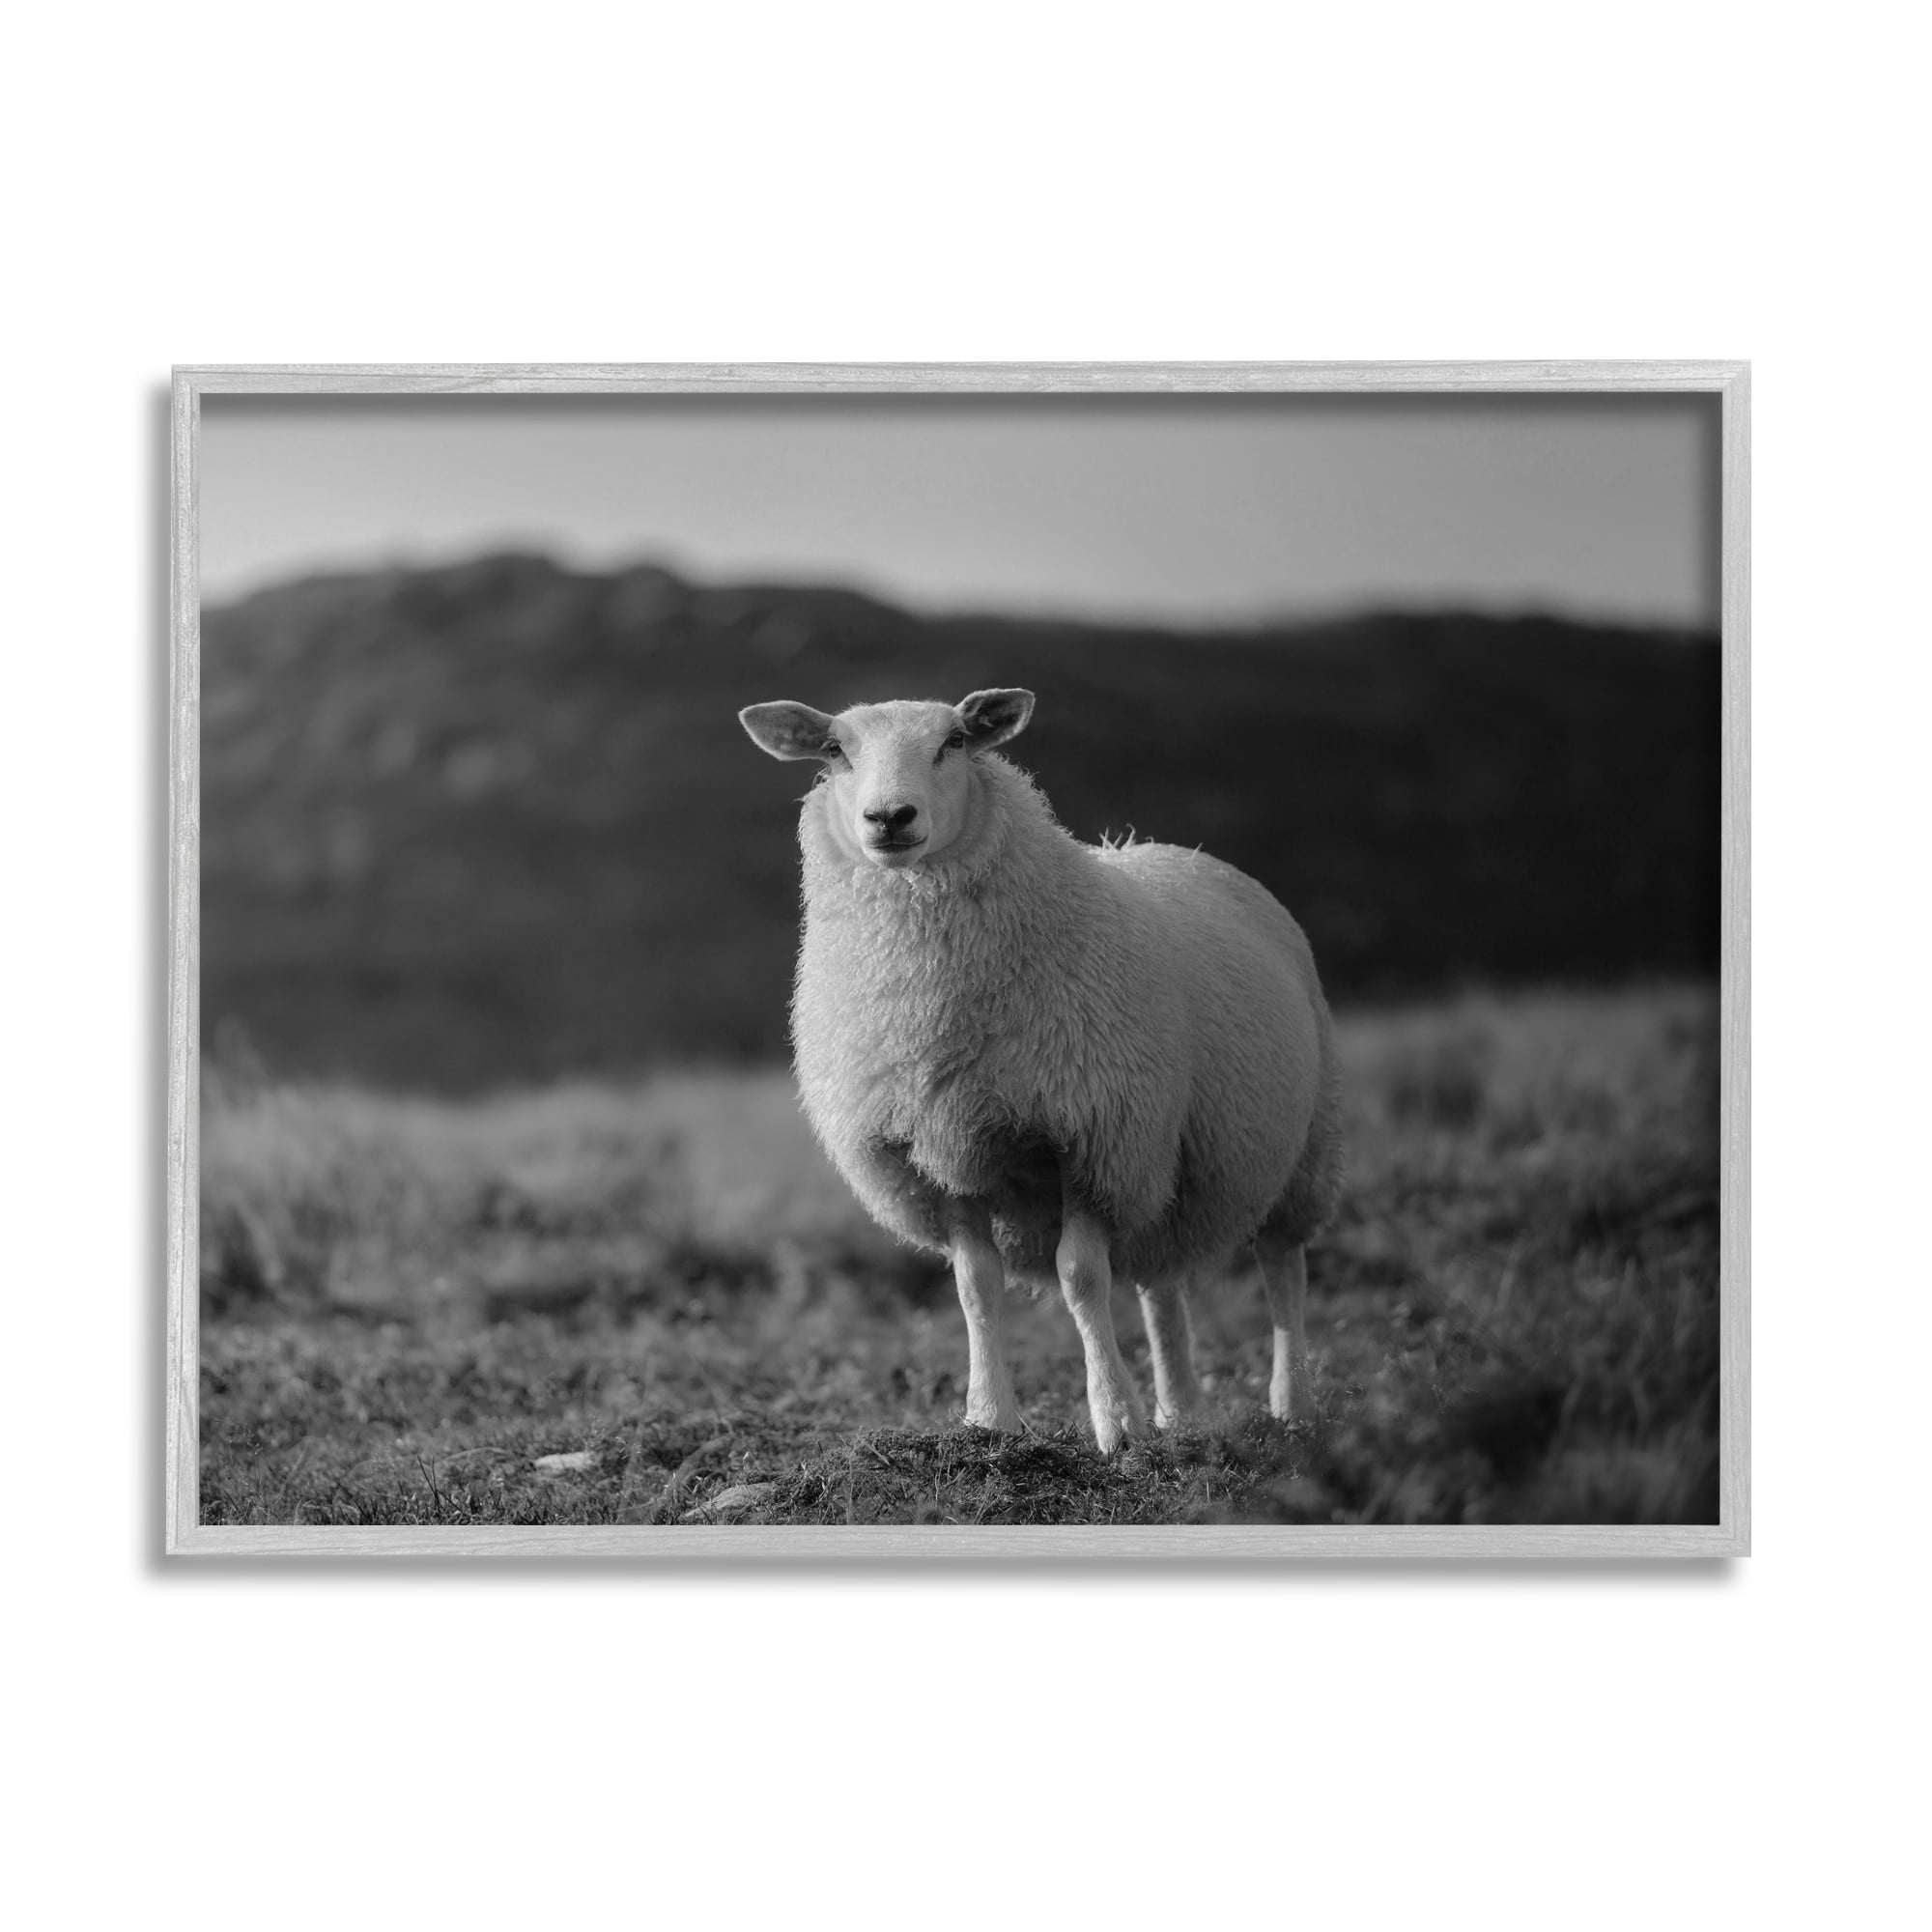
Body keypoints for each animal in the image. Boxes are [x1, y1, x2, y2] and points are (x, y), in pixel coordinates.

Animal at [738, 687, 1344, 1453]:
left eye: (954, 743)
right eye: (834, 750)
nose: (889, 818)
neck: (928, 1006)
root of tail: (1181, 852)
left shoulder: (1091, 1139)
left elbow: (1081, 1279)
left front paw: (1116, 1422)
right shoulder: (940, 1152)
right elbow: (976, 1286)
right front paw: (989, 1419)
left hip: (1301, 1146)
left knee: (1283, 1267)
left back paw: (1291, 1404)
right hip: (1160, 1160)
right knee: (1160, 1284)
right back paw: (1180, 1413)